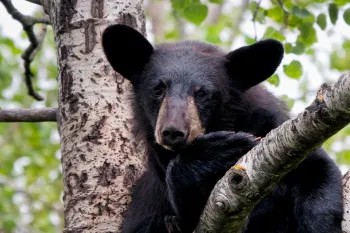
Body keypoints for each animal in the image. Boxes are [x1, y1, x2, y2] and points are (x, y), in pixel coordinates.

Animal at [102, 24, 344, 232]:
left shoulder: (275, 130)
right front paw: (214, 152)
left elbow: (317, 169)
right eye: (157, 90)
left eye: (202, 93)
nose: (173, 132)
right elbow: (183, 209)